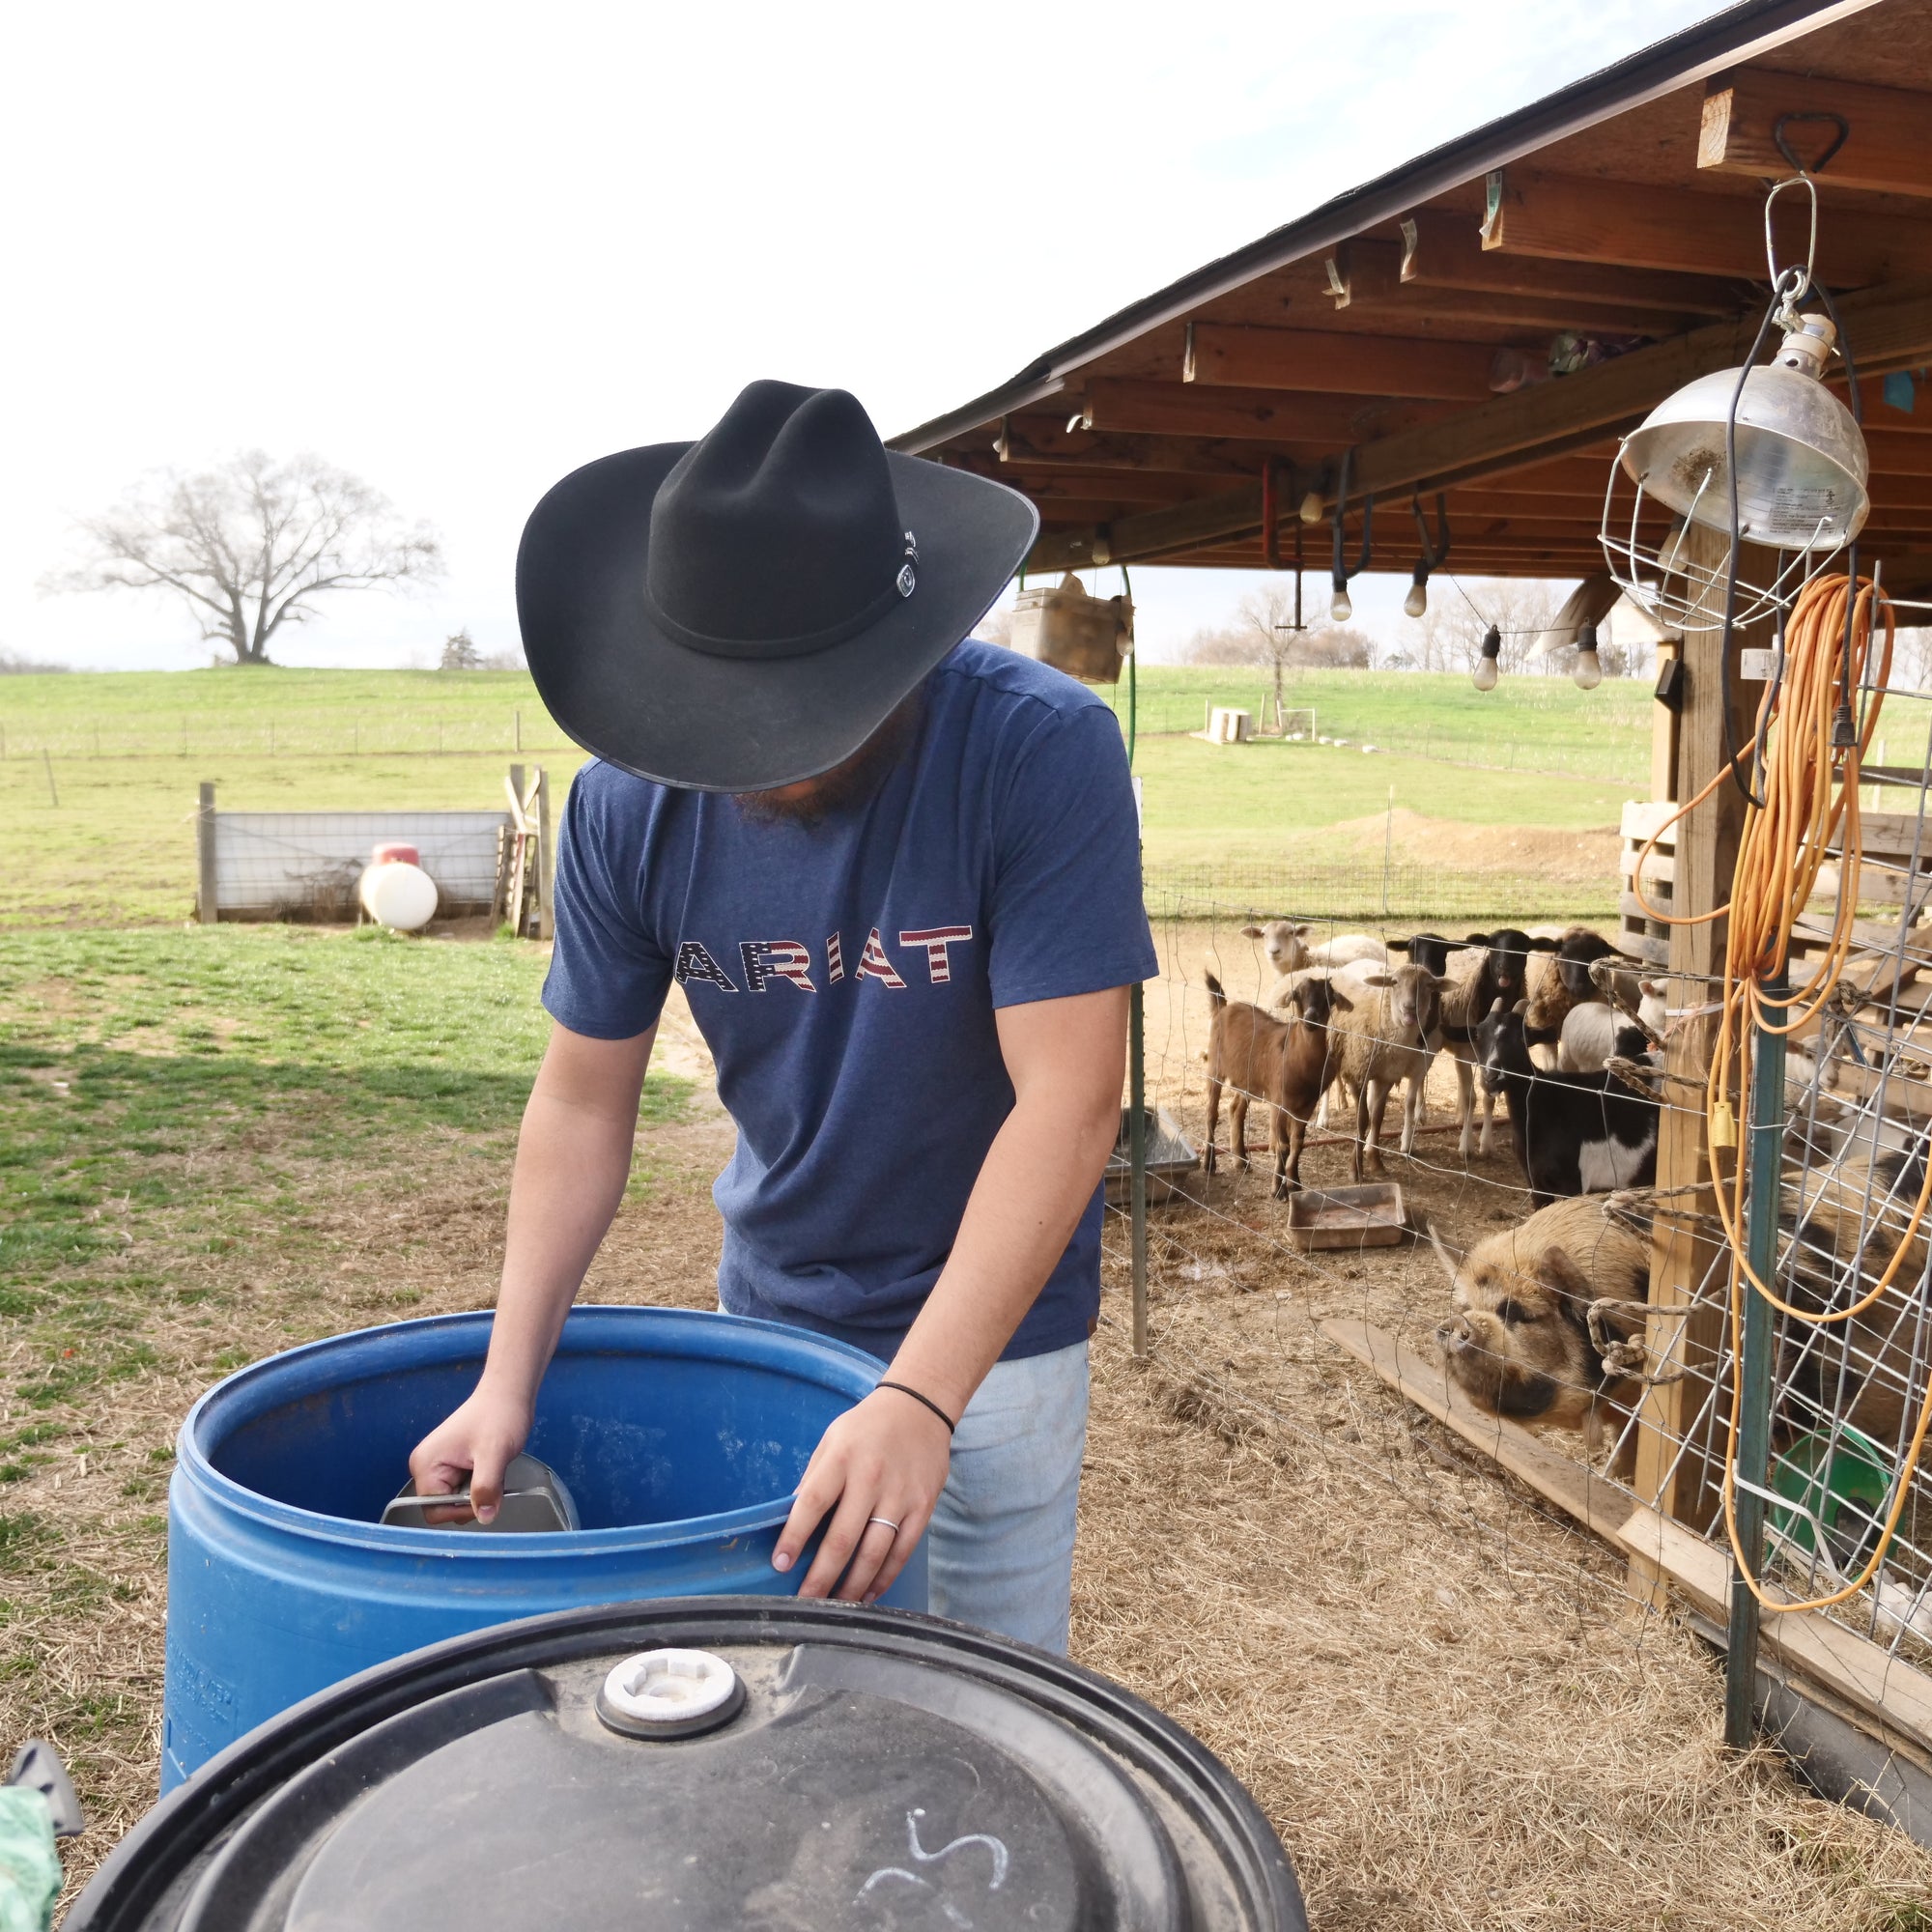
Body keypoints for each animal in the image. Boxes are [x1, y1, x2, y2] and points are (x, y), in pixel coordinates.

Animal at [1198, 974, 1352, 1198]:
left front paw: (1295, 1182)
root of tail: (1223, 1007)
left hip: (1247, 1081)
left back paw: (1241, 1160)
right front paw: (1278, 1190)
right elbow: (1283, 1145)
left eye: (1329, 997)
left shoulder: (1306, 1106)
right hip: (1215, 1069)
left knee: (1236, 1110)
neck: (1299, 1057)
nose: (1310, 1017)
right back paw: (1209, 1164)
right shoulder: (1279, 1102)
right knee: (1211, 1114)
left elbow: (1297, 1143)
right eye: (1297, 995)